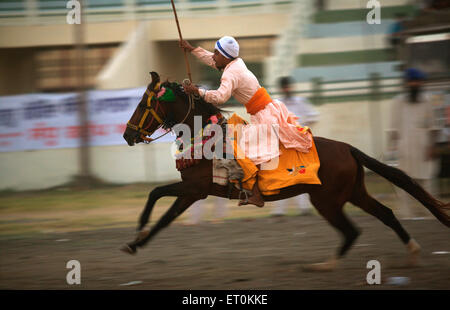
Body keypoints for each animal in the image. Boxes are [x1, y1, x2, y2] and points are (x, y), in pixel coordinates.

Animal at [121, 71, 448, 270]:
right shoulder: (193, 192)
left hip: (327, 201)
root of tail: (348, 148)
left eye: (143, 103)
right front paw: (137, 240)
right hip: (353, 193)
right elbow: (162, 208)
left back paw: (325, 265)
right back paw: (411, 252)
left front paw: (137, 234)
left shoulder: (195, 189)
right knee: (386, 215)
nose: (127, 135)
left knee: (352, 230)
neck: (206, 136)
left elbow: (158, 200)